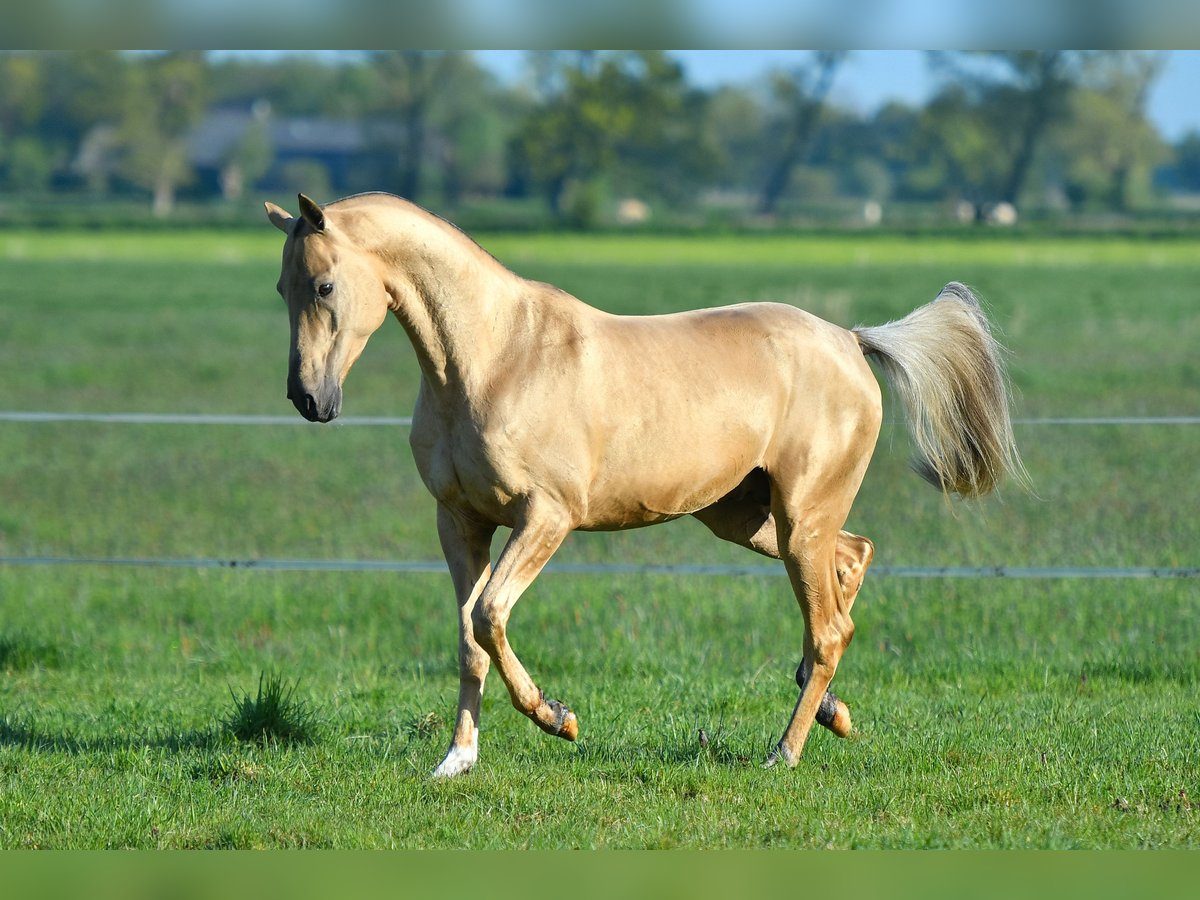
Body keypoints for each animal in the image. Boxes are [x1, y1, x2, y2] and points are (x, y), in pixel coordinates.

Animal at [267, 194, 1027, 777]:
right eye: (282, 288)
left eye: (325, 286)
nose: (309, 400)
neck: (493, 358)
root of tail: (850, 340)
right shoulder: (459, 522)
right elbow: (467, 638)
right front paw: (457, 762)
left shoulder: (546, 517)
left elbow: (489, 616)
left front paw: (558, 718)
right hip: (750, 518)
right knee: (851, 563)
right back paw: (831, 711)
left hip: (799, 516)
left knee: (830, 624)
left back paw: (783, 752)